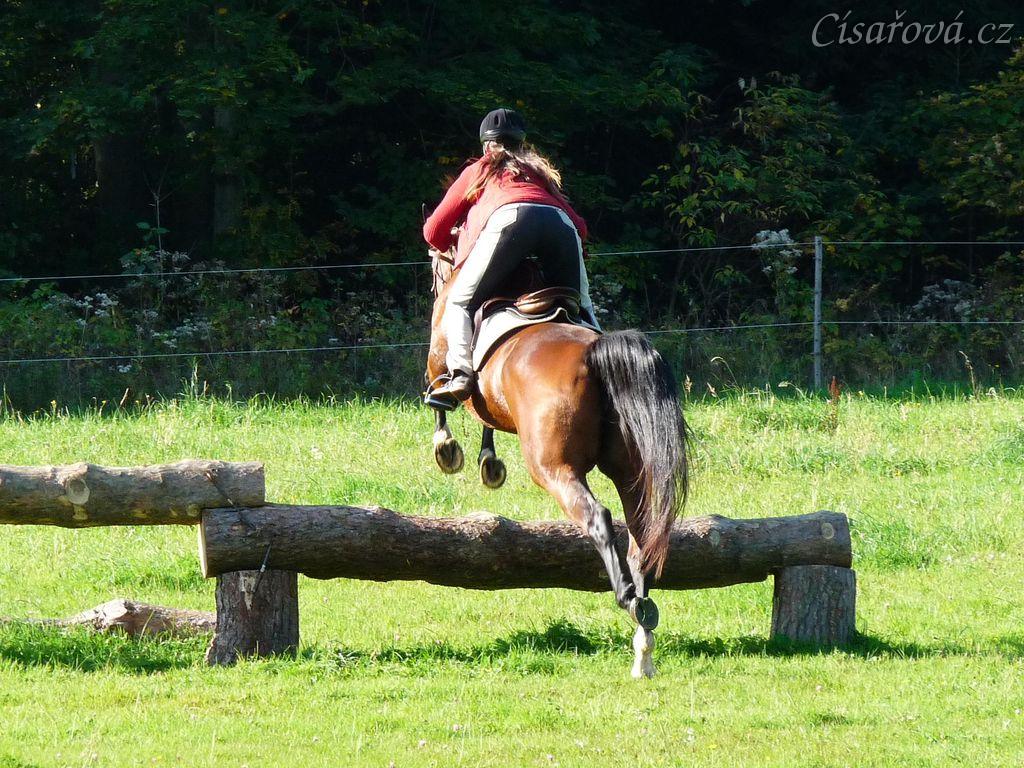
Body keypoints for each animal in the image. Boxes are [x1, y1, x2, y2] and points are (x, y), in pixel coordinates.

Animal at [425, 248, 689, 678]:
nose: (437, 277)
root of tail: (594, 355)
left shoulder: (439, 360)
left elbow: (442, 399)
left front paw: (449, 450)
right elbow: (485, 420)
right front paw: (489, 464)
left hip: (553, 468)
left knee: (597, 516)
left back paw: (626, 595)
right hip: (630, 470)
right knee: (641, 535)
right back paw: (643, 635)